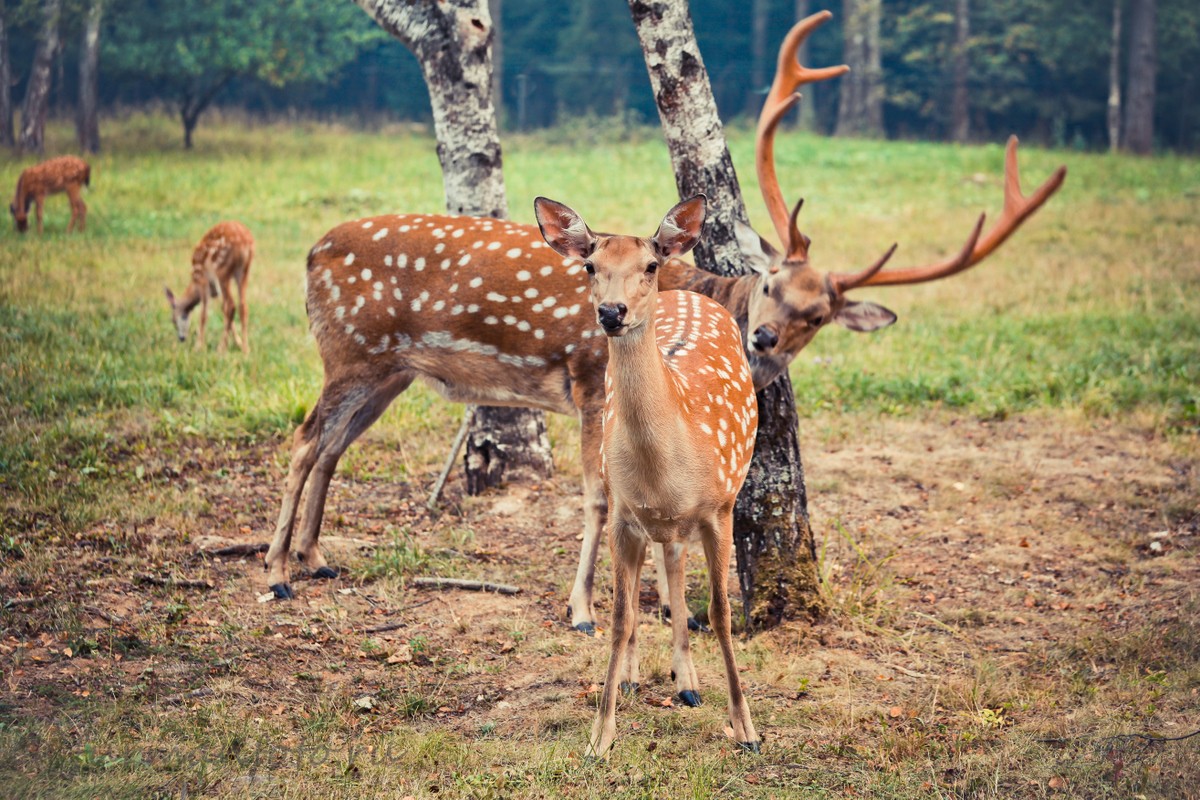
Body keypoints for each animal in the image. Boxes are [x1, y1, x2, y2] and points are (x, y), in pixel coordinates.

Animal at [164, 220, 255, 355]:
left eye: (174, 320)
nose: (181, 338)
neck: (194, 285)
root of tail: (245, 242)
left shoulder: (203, 281)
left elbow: (204, 315)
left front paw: (198, 346)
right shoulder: (215, 291)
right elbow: (222, 309)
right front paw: (237, 342)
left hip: (222, 269)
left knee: (231, 306)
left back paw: (221, 348)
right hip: (244, 271)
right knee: (243, 306)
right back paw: (245, 349)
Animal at [260, 10, 1060, 638]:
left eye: (818, 315)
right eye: (770, 281)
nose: (764, 338)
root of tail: (309, 252)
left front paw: (661, 606)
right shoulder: (588, 378)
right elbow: (598, 494)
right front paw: (584, 609)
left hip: (388, 369)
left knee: (330, 447)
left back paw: (316, 559)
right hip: (348, 349)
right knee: (302, 441)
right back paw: (274, 572)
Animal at [535, 194, 758, 758]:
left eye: (650, 265)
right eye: (590, 266)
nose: (612, 312)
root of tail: (691, 294)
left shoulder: (720, 509)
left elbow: (722, 613)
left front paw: (746, 730)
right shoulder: (622, 514)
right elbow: (620, 616)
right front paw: (601, 735)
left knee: (675, 569)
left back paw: (689, 684)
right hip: (643, 517)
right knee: (659, 573)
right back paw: (650, 679)